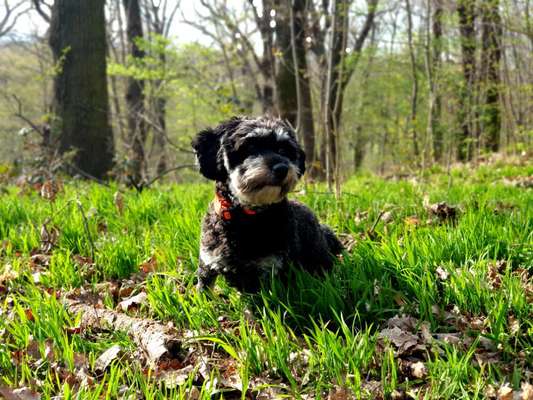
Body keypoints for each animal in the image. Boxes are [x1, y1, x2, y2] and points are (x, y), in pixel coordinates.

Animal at [191, 115, 340, 290]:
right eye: (250, 147)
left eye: (283, 150)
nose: (282, 168)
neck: (245, 218)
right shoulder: (208, 262)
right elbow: (203, 290)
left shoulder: (267, 270)